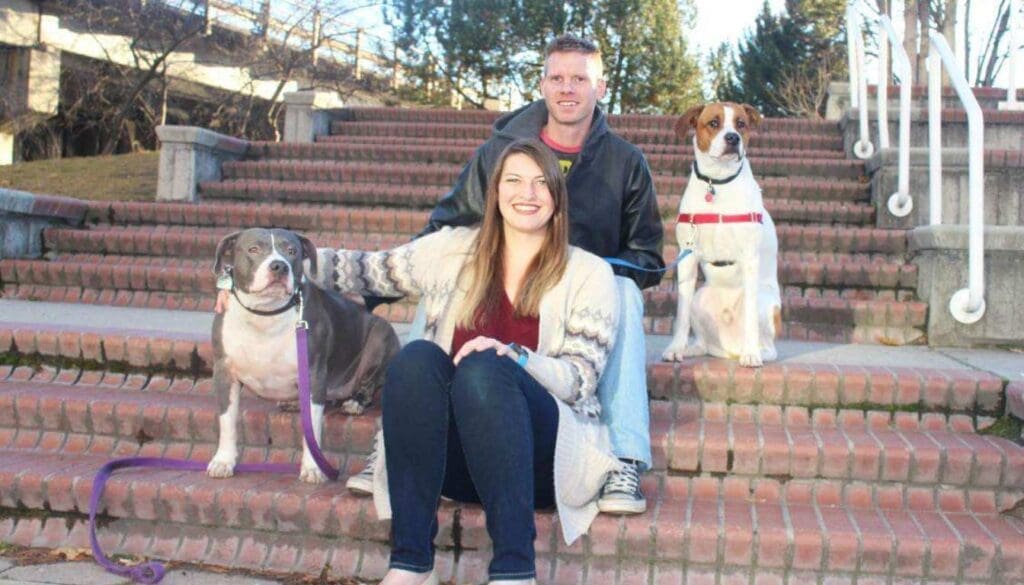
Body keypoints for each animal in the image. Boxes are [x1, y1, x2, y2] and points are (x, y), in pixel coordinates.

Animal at [207, 228, 399, 485]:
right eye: (253, 249)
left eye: (292, 251)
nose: (279, 266)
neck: (266, 314)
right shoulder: (224, 372)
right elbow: (227, 420)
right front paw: (223, 461)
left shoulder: (313, 373)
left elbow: (312, 428)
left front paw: (313, 467)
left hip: (380, 335)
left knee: (367, 384)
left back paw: (354, 402)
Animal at [659, 101, 778, 366]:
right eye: (713, 123)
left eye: (741, 124)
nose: (733, 138)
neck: (718, 182)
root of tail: (728, 350)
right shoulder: (687, 256)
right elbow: (680, 315)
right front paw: (675, 348)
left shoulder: (749, 257)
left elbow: (750, 320)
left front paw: (751, 355)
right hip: (700, 298)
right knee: (704, 341)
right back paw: (693, 349)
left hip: (765, 303)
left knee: (769, 346)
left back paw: (753, 352)